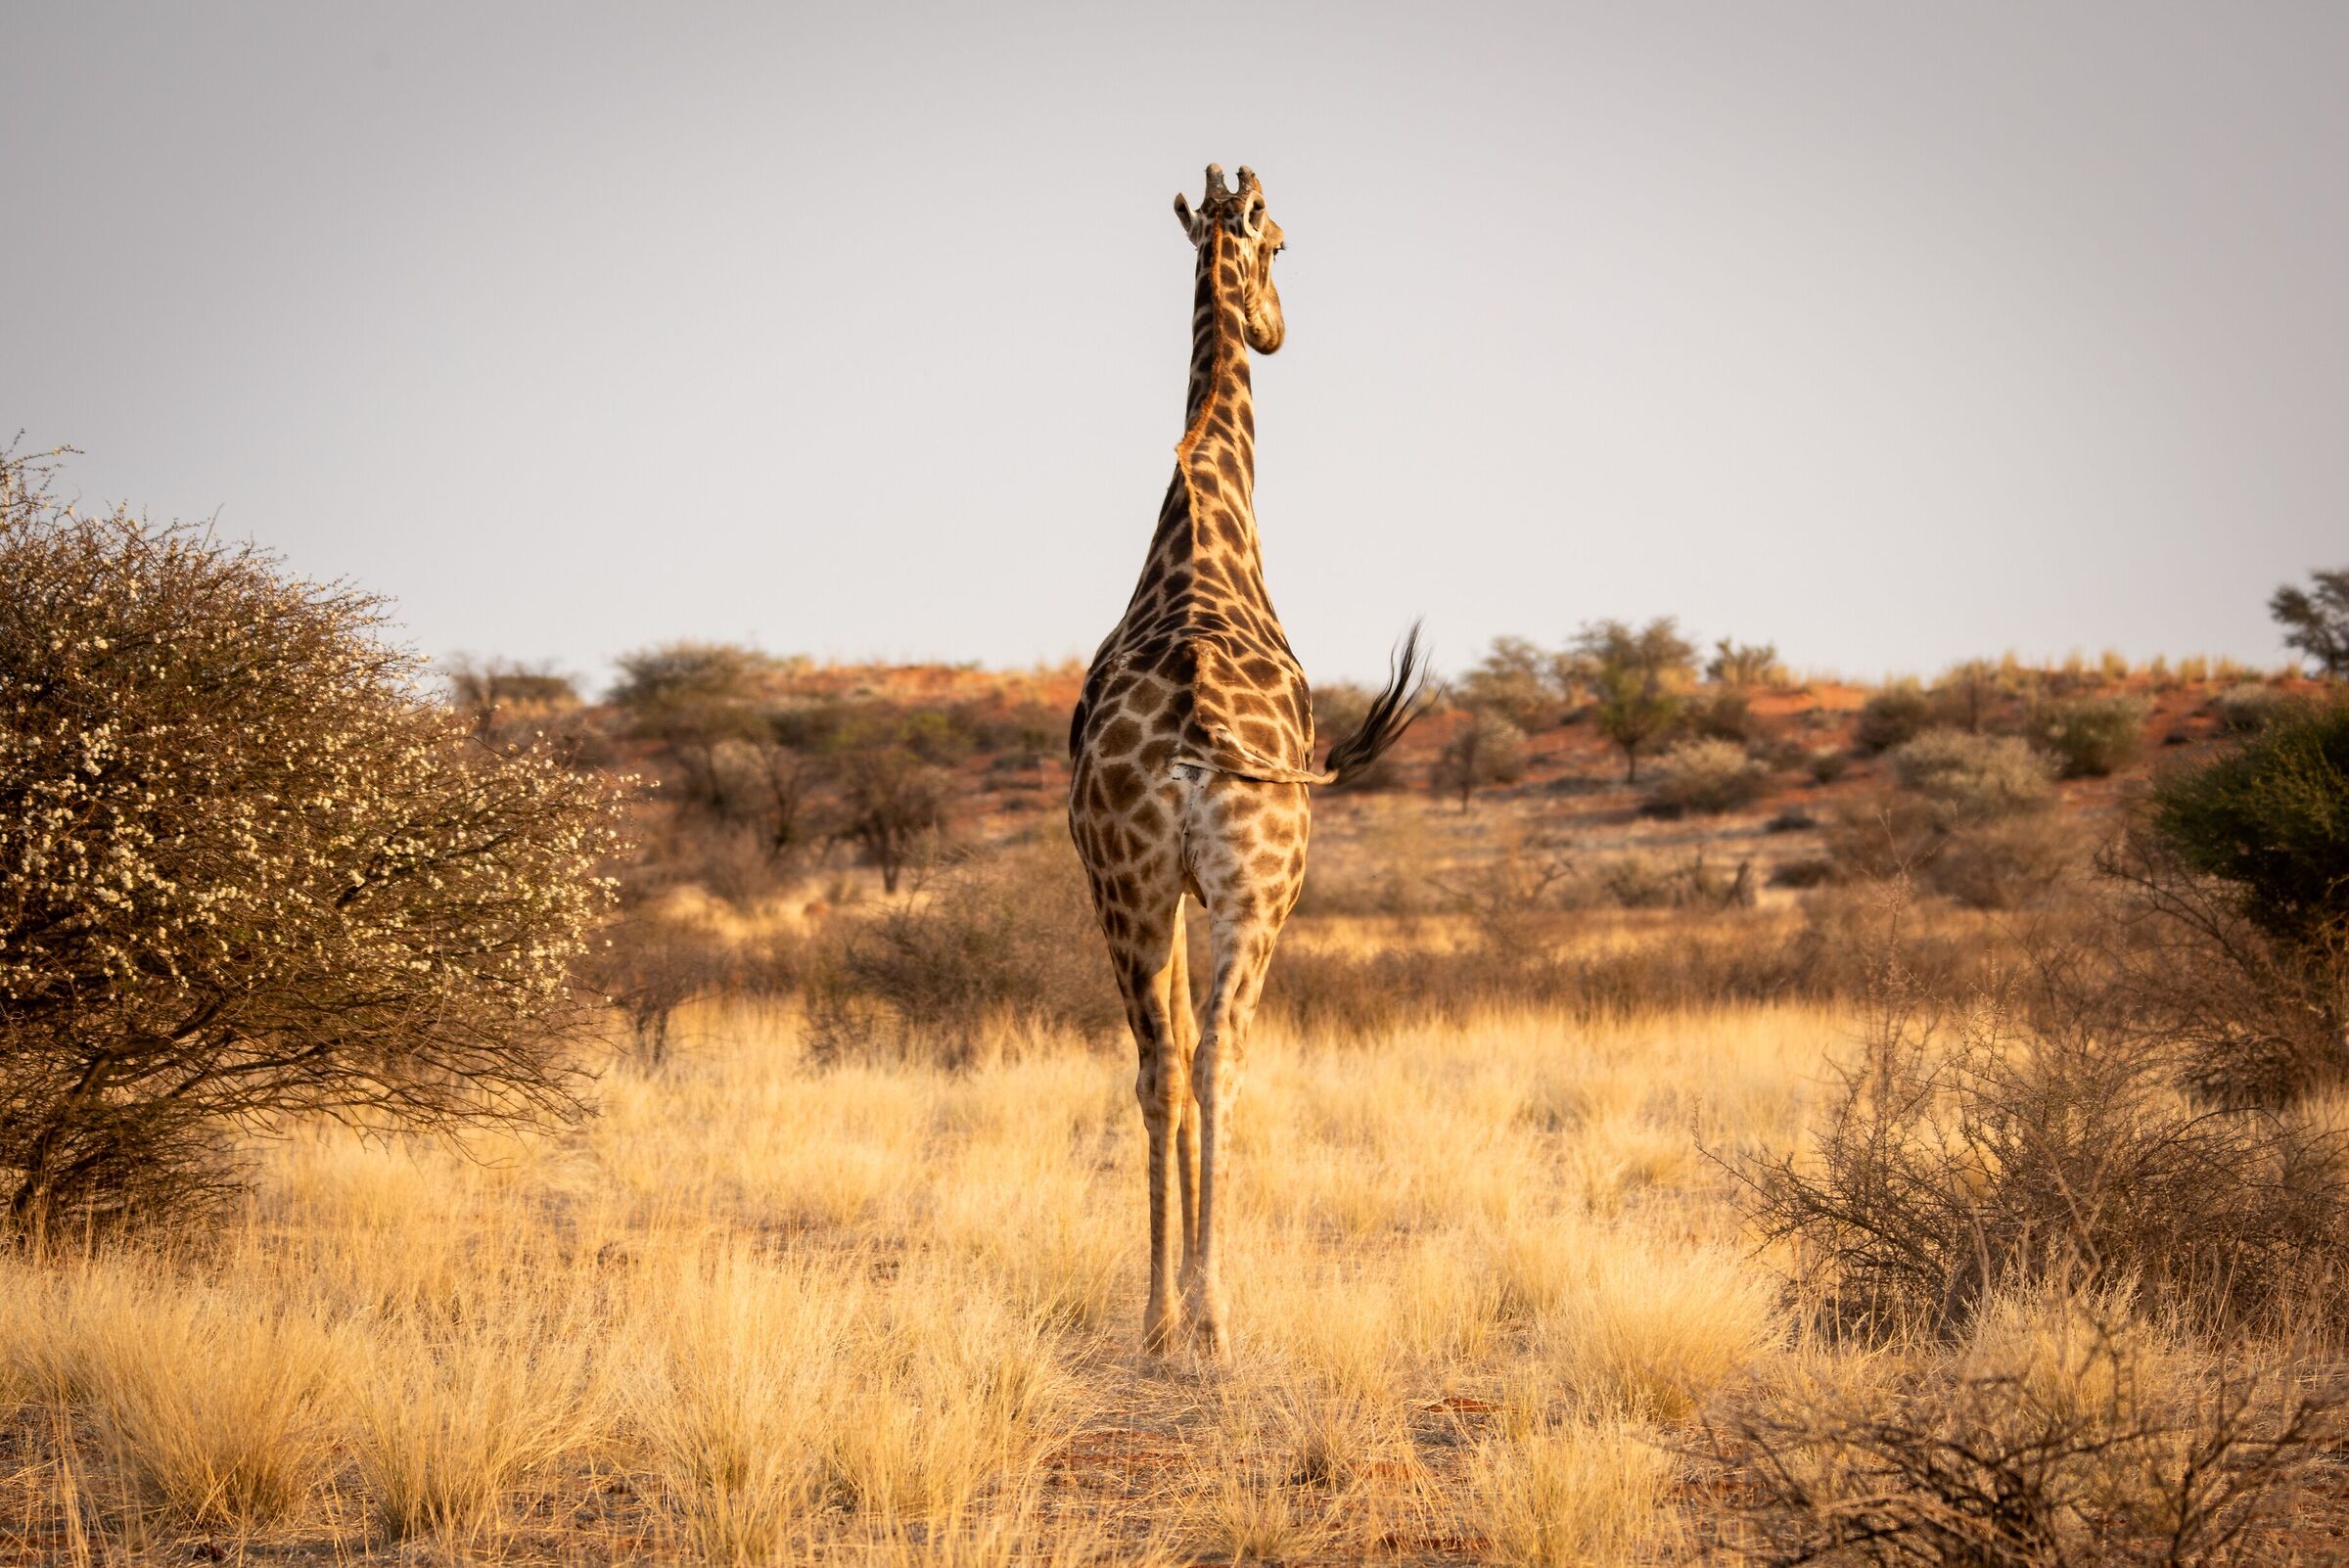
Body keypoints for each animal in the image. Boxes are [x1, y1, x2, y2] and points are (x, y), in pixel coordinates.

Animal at [1069, 163, 1428, 1356]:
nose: (1275, 329)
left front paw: (1171, 1300)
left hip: (1129, 890)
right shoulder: (1214, 892)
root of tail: (1193, 724)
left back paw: (1158, 1315)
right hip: (1259, 890)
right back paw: (1213, 1315)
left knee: (1159, 1062)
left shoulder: (1164, 889)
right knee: (1220, 1054)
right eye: (1282, 244)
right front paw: (1200, 1300)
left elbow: (1166, 1059)